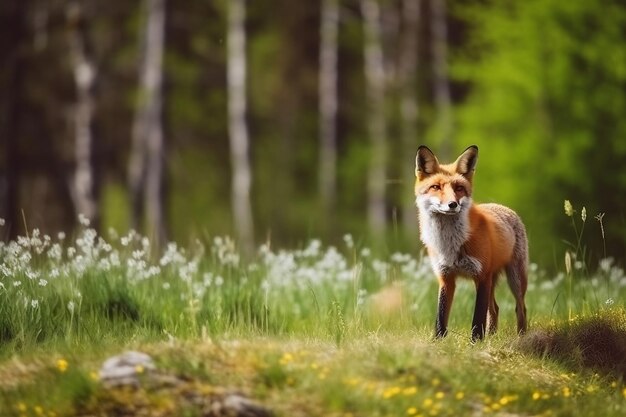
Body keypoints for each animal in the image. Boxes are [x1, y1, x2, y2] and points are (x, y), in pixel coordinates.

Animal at [414, 145, 528, 340]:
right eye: (436, 187)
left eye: (459, 188)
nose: (452, 204)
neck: (449, 244)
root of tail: (505, 208)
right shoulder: (446, 277)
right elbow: (440, 317)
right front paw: (438, 342)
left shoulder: (481, 275)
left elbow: (477, 318)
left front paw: (476, 342)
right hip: (491, 279)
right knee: (495, 309)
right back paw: (492, 336)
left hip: (514, 278)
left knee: (521, 308)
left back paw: (521, 336)